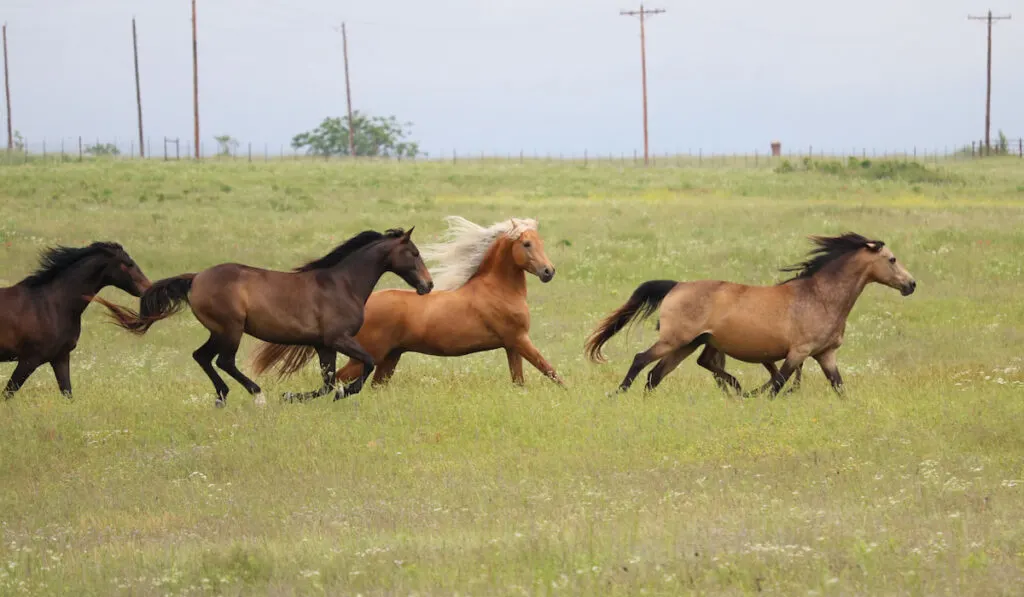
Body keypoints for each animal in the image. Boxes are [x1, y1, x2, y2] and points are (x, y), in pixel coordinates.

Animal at [0, 242, 151, 401]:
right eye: (128, 264)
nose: (149, 288)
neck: (53, 305)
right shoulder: (29, 360)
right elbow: (7, 393)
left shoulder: (60, 358)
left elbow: (68, 394)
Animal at [104, 227, 436, 405]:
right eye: (415, 253)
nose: (428, 285)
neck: (342, 284)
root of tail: (196, 278)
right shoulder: (338, 339)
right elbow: (366, 363)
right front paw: (346, 392)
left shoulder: (323, 345)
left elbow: (328, 381)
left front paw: (294, 396)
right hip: (230, 329)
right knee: (223, 361)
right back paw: (256, 394)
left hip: (219, 331)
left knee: (202, 357)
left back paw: (222, 397)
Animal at [250, 217, 565, 389]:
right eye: (526, 244)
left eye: (540, 242)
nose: (548, 272)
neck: (497, 290)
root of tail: (364, 303)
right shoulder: (519, 339)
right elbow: (551, 372)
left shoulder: (511, 345)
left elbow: (520, 381)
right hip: (370, 356)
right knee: (338, 378)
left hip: (390, 357)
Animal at [589, 233, 917, 397]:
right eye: (892, 259)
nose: (911, 284)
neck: (821, 297)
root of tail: (677, 285)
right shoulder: (798, 352)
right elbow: (778, 383)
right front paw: (758, 396)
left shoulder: (825, 355)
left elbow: (839, 387)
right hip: (675, 340)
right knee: (640, 360)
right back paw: (618, 395)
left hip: (689, 344)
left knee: (656, 374)